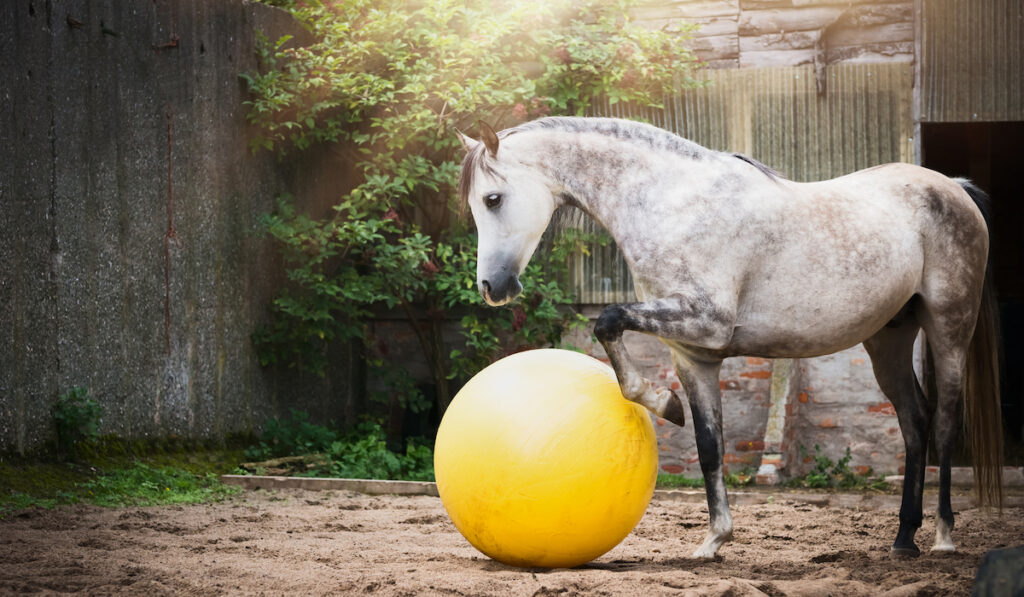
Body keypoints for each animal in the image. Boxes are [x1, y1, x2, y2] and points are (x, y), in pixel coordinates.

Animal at [460, 115, 1003, 561]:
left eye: (493, 199)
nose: (492, 288)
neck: (670, 203)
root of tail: (953, 188)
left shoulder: (704, 321)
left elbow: (608, 321)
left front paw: (662, 403)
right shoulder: (693, 354)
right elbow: (708, 443)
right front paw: (714, 539)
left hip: (949, 327)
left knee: (943, 424)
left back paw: (943, 537)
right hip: (887, 339)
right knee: (914, 422)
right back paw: (904, 538)